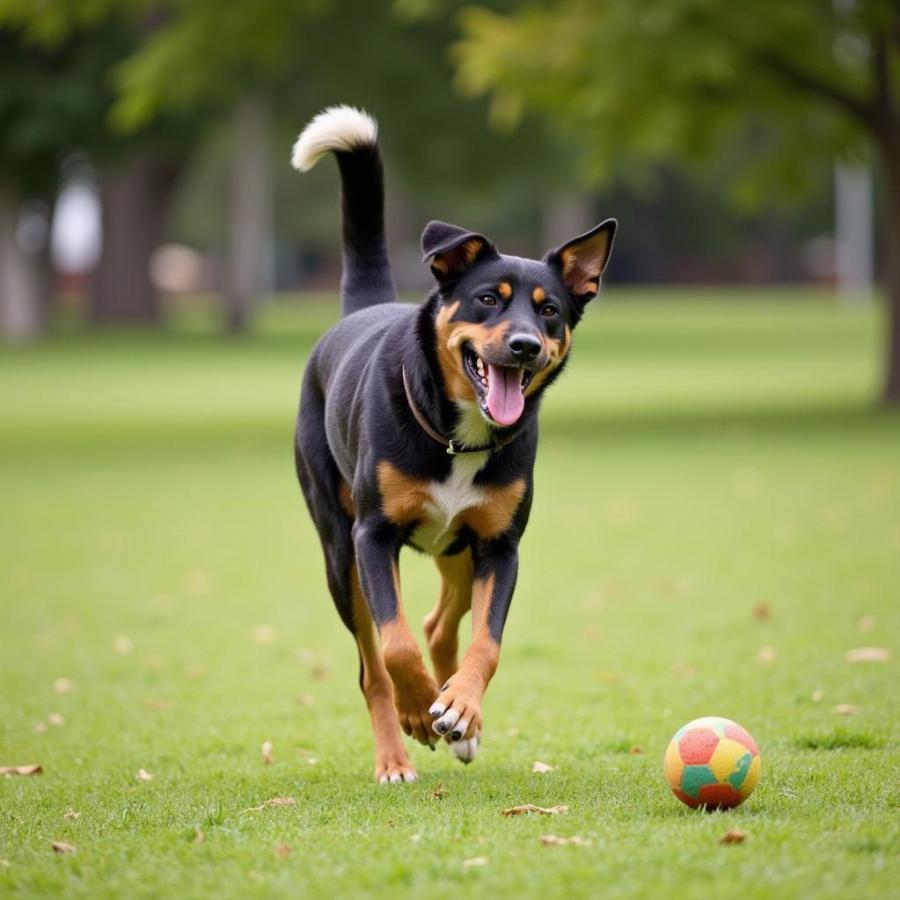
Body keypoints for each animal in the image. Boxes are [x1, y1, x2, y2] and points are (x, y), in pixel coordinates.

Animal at [292, 103, 616, 780]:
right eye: (488, 299)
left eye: (550, 311)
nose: (524, 345)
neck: (457, 437)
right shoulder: (372, 537)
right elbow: (394, 645)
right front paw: (420, 709)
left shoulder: (500, 546)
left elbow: (486, 643)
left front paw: (458, 709)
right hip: (339, 551)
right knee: (373, 667)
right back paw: (397, 751)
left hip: (458, 547)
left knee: (442, 625)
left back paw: (459, 716)